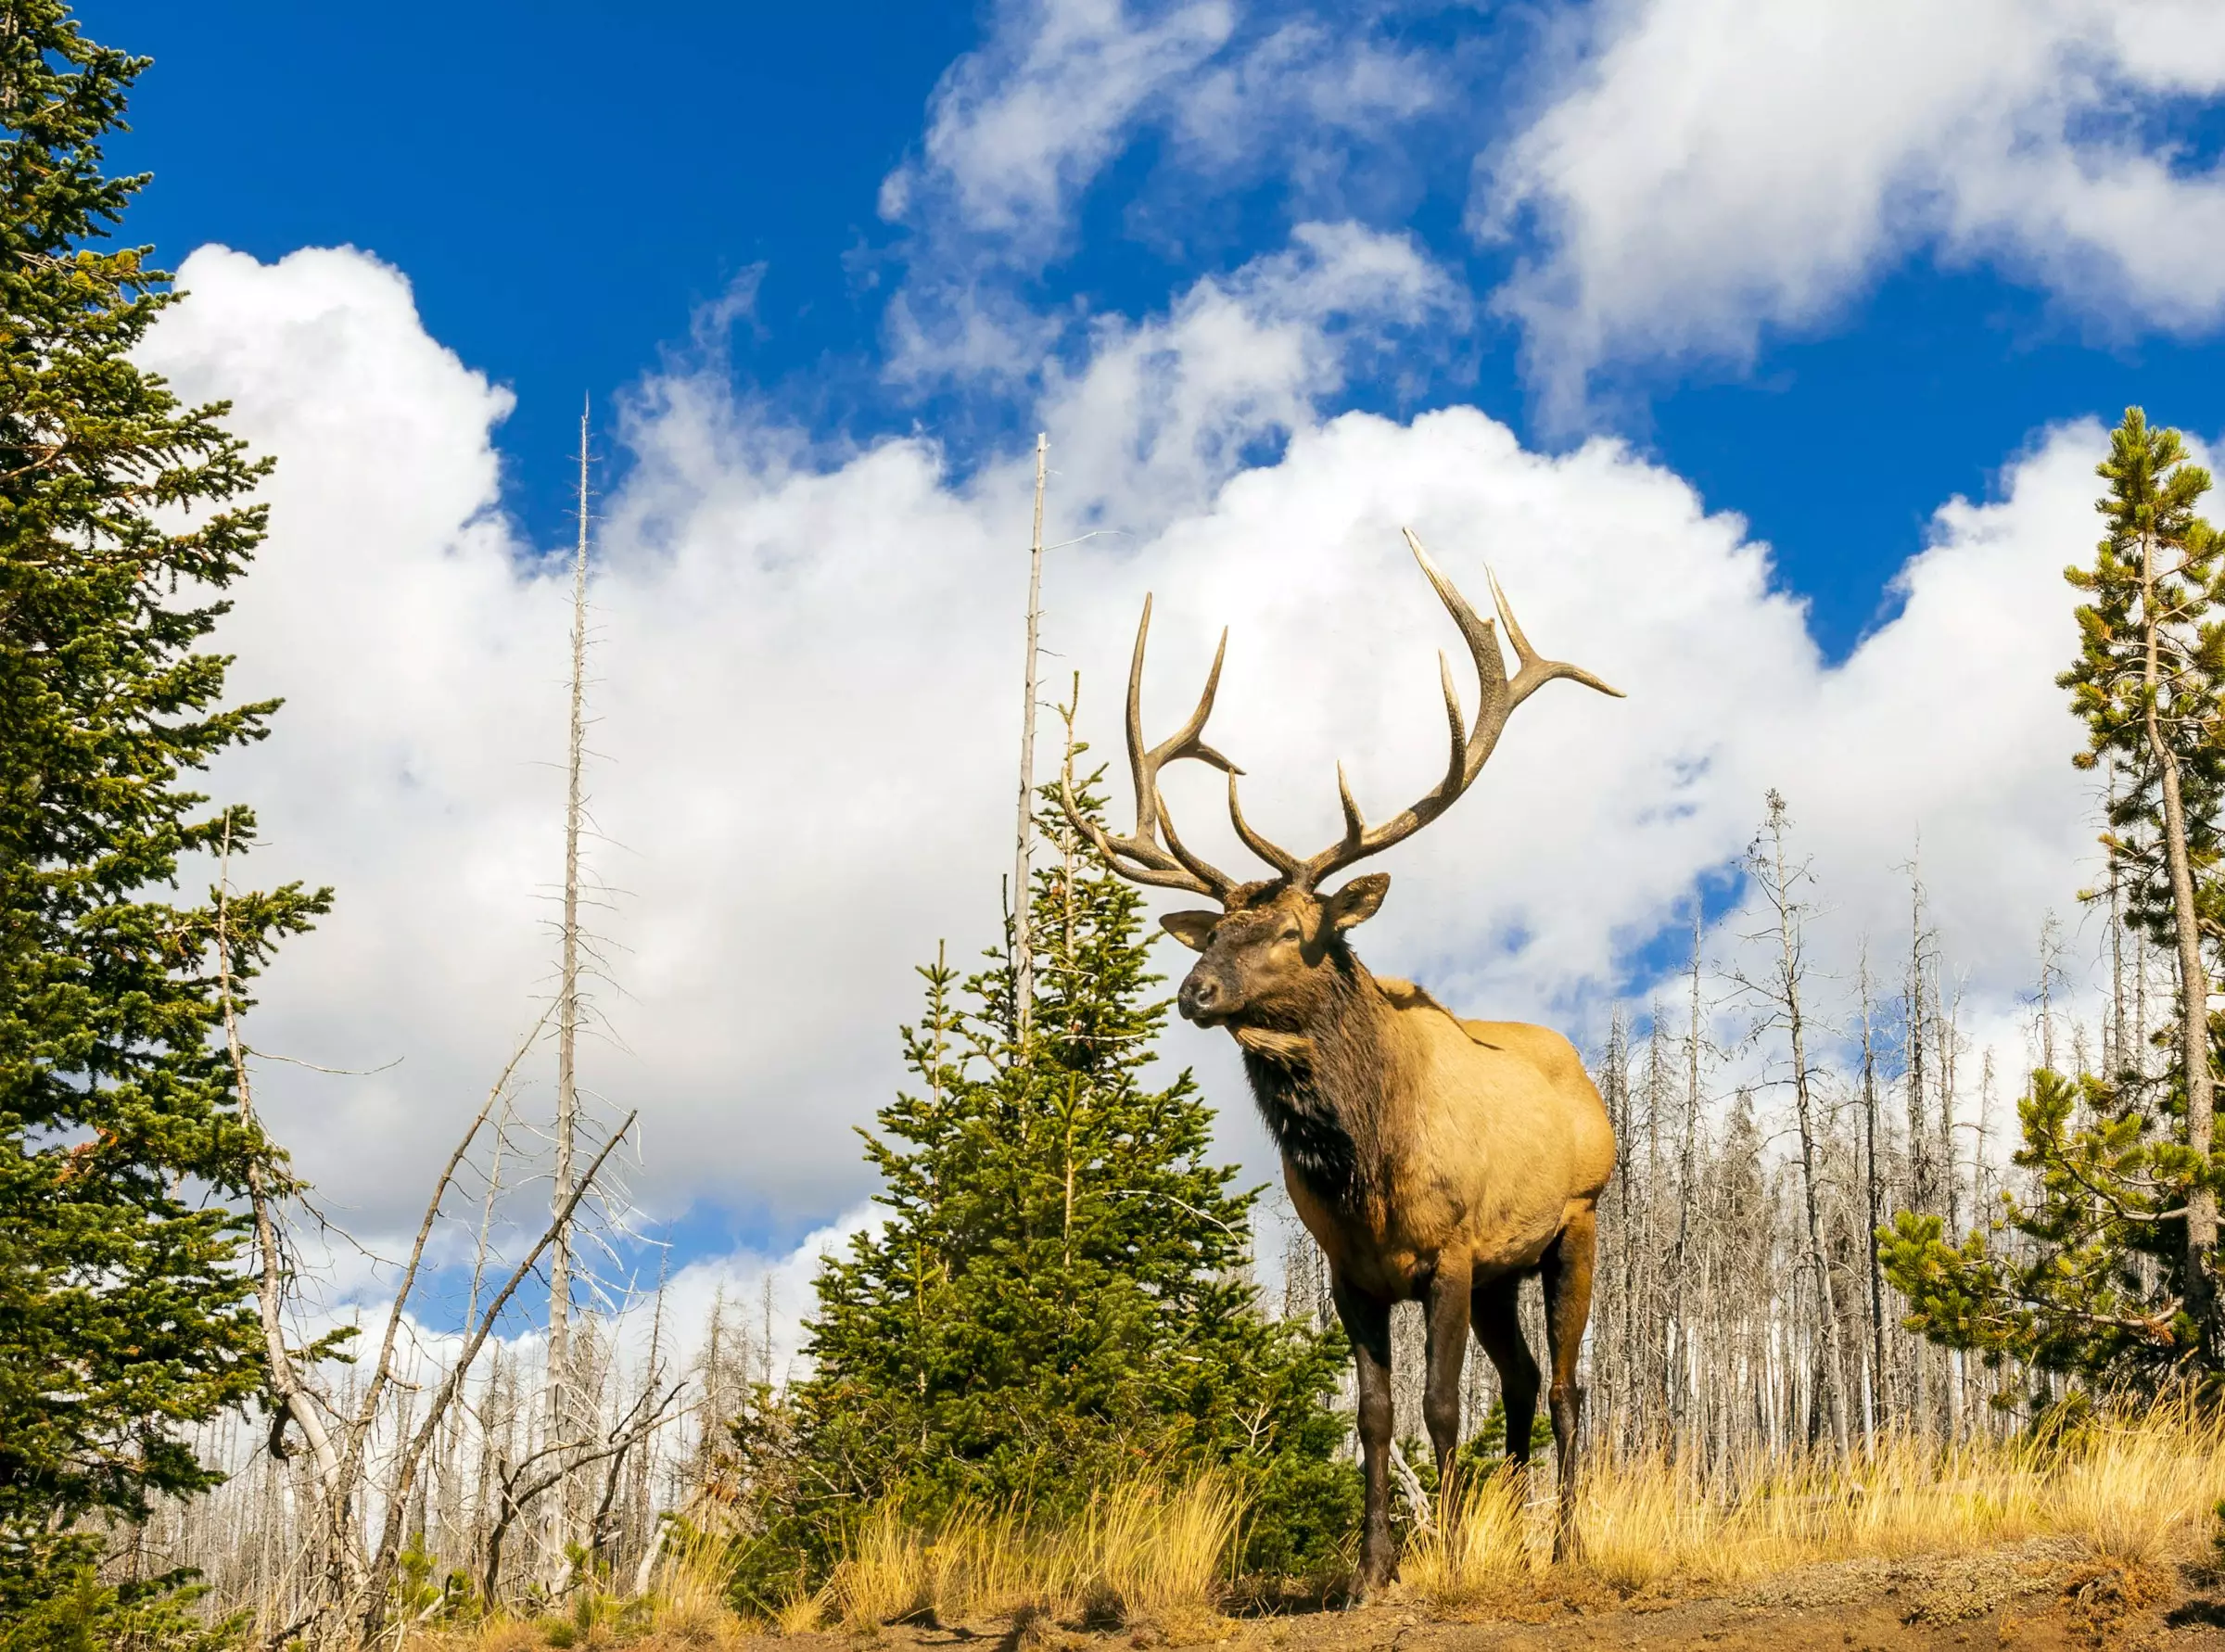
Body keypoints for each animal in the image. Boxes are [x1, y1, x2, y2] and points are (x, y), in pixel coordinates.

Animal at [1059, 529, 1620, 1594]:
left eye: (1290, 932)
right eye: (1214, 930)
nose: (1194, 992)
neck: (1370, 1167)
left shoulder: (1450, 1252)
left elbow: (1440, 1408)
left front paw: (1445, 1558)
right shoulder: (1350, 1273)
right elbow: (1373, 1418)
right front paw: (1374, 1571)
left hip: (1574, 1223)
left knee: (1568, 1384)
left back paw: (1568, 1544)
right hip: (1505, 1269)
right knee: (1525, 1382)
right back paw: (1524, 1535)